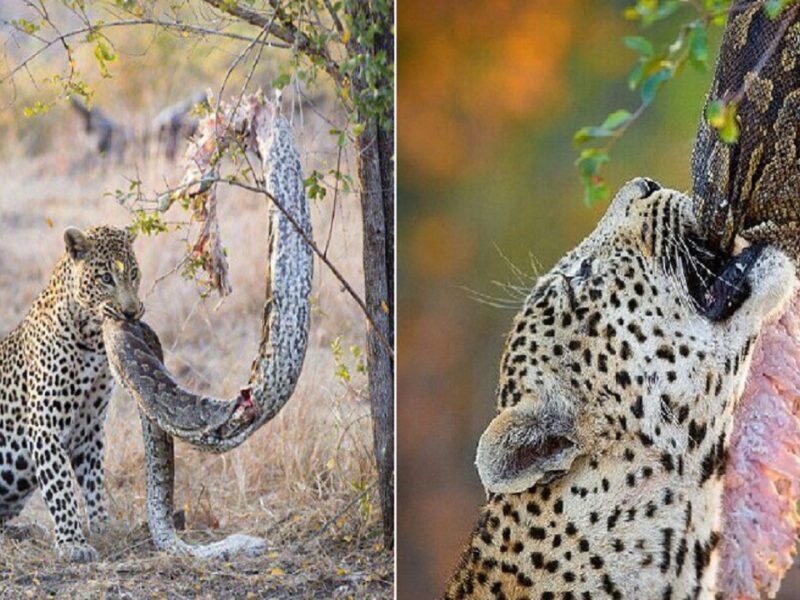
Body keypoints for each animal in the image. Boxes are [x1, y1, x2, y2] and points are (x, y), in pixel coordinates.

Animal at [0, 226, 142, 564]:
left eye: (133, 273)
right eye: (106, 278)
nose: (131, 313)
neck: (91, 338)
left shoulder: (90, 428)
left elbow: (93, 482)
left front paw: (103, 528)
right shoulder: (46, 426)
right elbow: (61, 486)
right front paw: (73, 543)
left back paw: (25, 531)